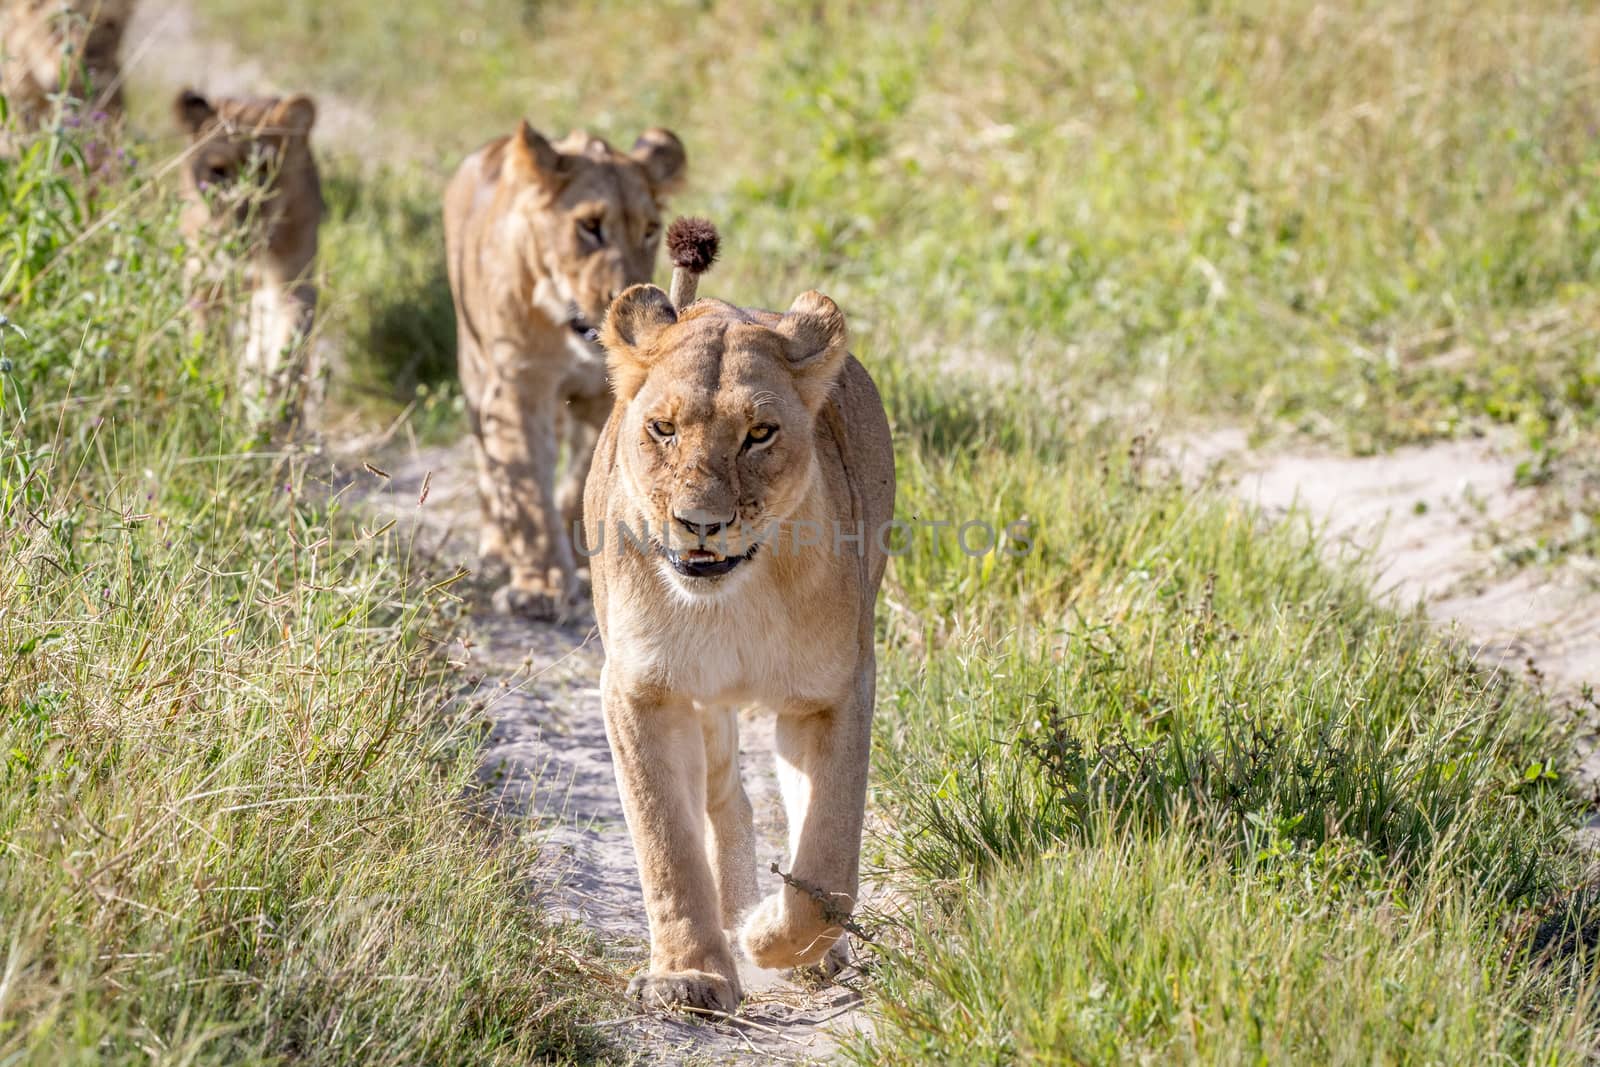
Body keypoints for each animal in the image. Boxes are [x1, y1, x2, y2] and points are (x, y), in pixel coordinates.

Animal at [441, 119, 684, 617]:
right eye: (589, 226)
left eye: (650, 230)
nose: (627, 297)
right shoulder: (518, 390)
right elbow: (528, 490)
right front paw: (541, 588)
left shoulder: (607, 396)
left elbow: (578, 480)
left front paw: (580, 557)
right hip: (474, 368)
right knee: (488, 462)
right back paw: (497, 549)